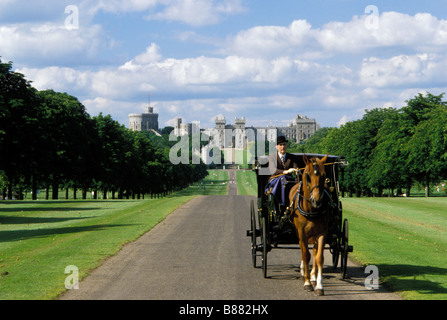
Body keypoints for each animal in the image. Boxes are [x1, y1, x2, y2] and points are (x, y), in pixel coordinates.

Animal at [288, 154, 330, 296]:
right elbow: (306, 255)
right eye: (307, 176)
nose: (317, 200)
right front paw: (307, 283)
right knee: (303, 249)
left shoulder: (322, 232)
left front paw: (319, 285)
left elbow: (319, 257)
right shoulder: (302, 232)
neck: (312, 210)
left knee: (315, 252)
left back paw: (312, 276)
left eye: (324, 175)